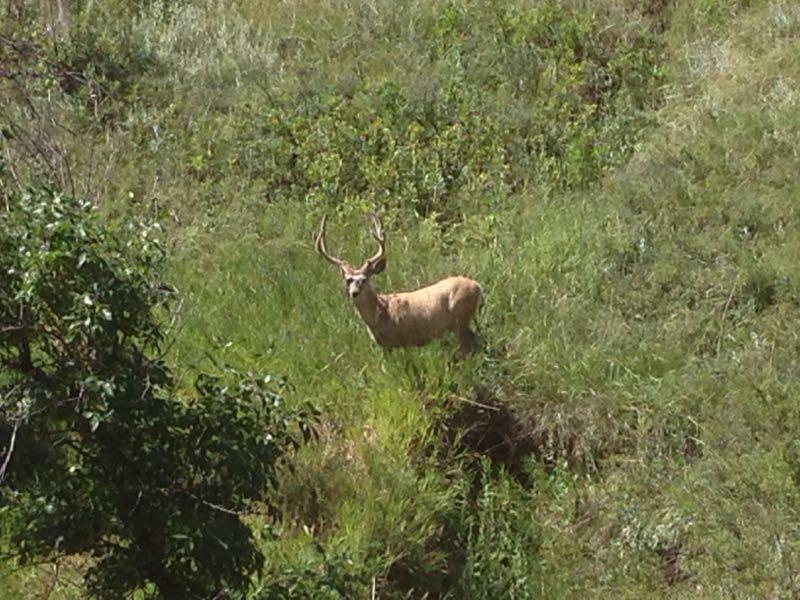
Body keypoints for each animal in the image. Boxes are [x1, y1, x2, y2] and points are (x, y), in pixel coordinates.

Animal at [315, 213, 483, 356]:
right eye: (348, 280)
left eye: (364, 279)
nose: (354, 293)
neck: (381, 315)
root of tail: (478, 287)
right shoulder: (385, 346)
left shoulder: (404, 339)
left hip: (461, 317)